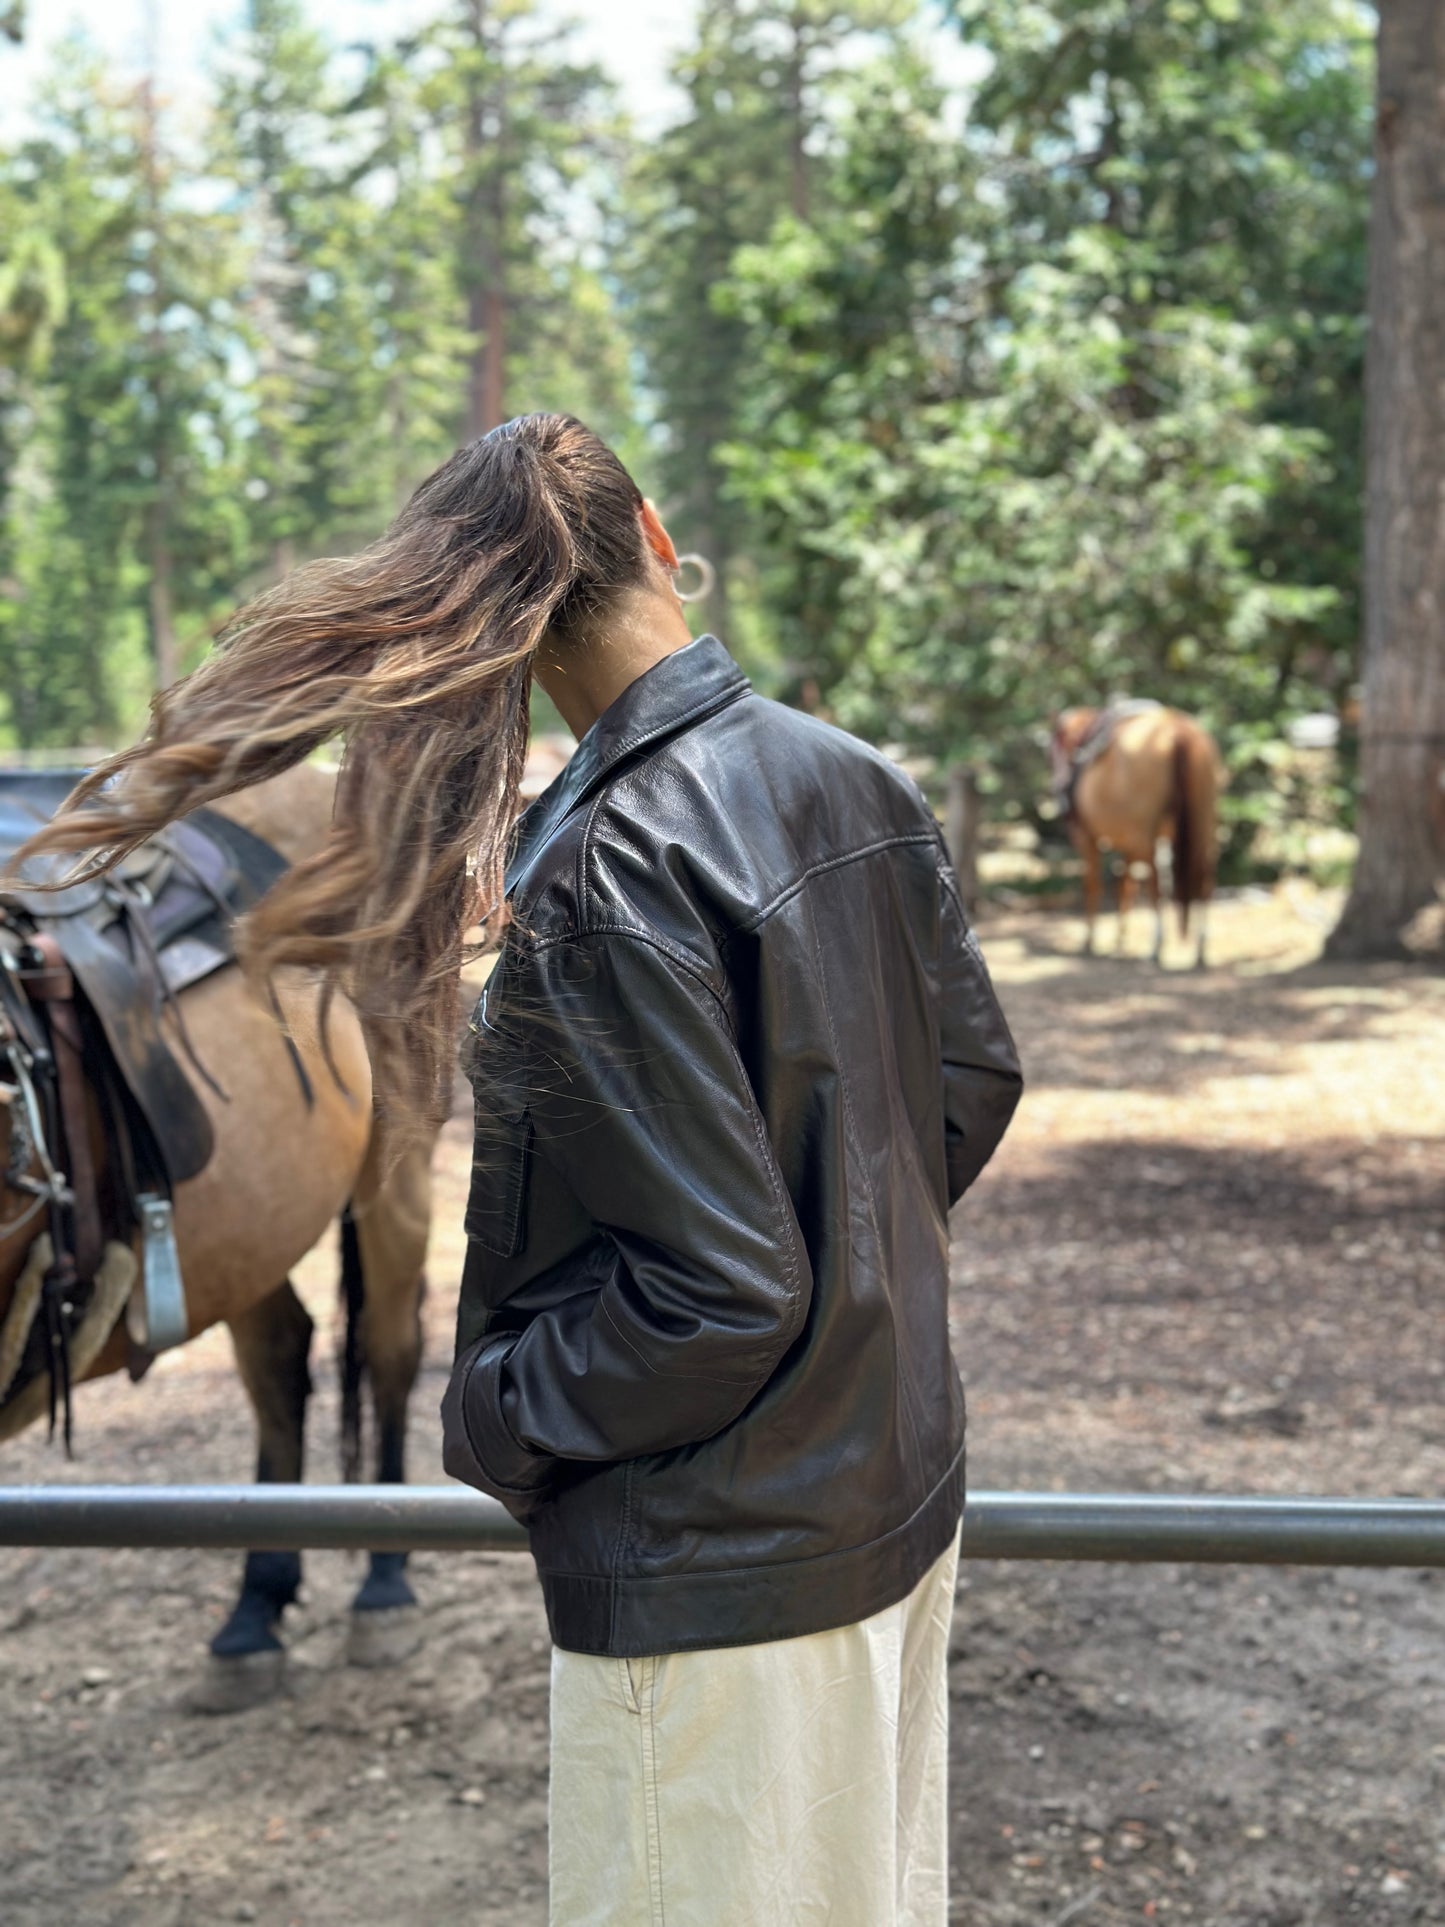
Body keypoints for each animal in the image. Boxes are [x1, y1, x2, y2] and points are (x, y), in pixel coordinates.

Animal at [0, 759, 439, 1711]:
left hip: (399, 1167)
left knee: (391, 1346)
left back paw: (385, 1585)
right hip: (246, 1230)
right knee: (280, 1359)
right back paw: (254, 1611)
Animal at [1055, 701, 1225, 963]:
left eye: (1054, 748)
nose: (1058, 784)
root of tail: (1176, 730)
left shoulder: (1087, 837)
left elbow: (1093, 884)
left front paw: (1090, 939)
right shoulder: (1129, 844)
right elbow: (1125, 886)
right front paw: (1119, 938)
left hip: (1146, 836)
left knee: (1155, 884)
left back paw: (1157, 943)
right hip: (1203, 825)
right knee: (1205, 878)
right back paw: (1200, 947)